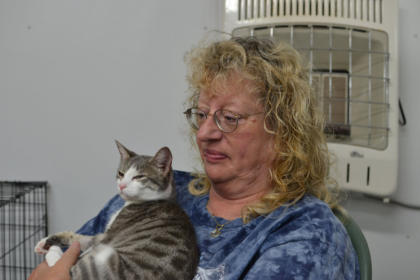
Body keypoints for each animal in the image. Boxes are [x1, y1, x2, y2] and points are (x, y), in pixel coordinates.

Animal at [34, 141, 199, 278]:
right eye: (121, 173)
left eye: (139, 177)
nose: (121, 185)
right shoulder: (104, 235)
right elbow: (79, 237)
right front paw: (44, 241)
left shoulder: (109, 236)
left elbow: (85, 242)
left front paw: (51, 247)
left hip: (105, 257)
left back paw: (54, 252)